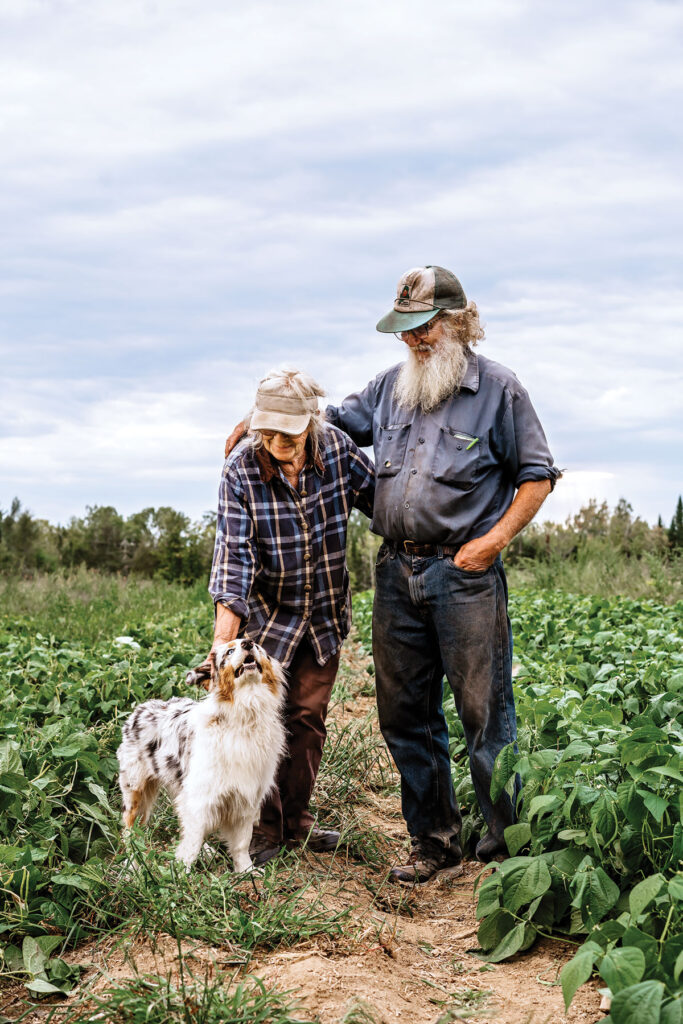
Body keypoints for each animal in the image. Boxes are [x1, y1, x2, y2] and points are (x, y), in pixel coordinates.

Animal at [117, 638, 286, 872]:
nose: (248, 642)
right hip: (136, 792)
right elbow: (192, 841)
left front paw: (246, 871)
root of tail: (141, 708)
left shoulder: (246, 798)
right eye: (229, 651)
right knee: (131, 832)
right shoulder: (200, 797)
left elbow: (242, 843)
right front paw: (180, 873)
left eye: (260, 648)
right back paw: (133, 865)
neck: (245, 714)